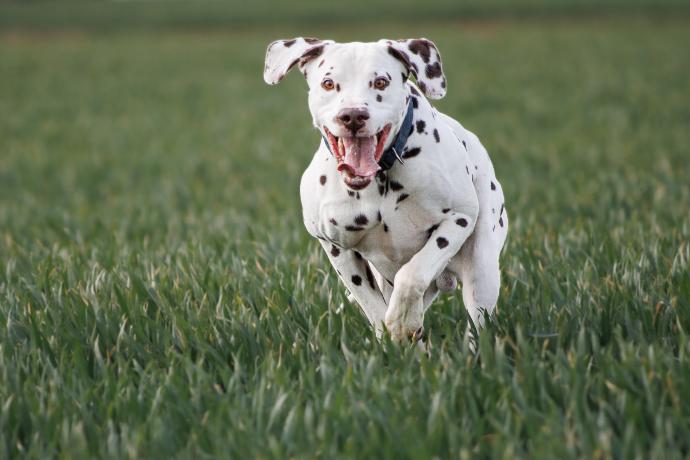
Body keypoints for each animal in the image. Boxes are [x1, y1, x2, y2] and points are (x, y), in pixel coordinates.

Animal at [264, 37, 506, 344]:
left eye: (380, 82)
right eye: (328, 83)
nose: (353, 115)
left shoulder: (459, 218)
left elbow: (413, 274)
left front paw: (403, 321)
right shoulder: (336, 248)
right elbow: (373, 306)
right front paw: (392, 337)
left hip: (482, 272)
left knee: (478, 322)